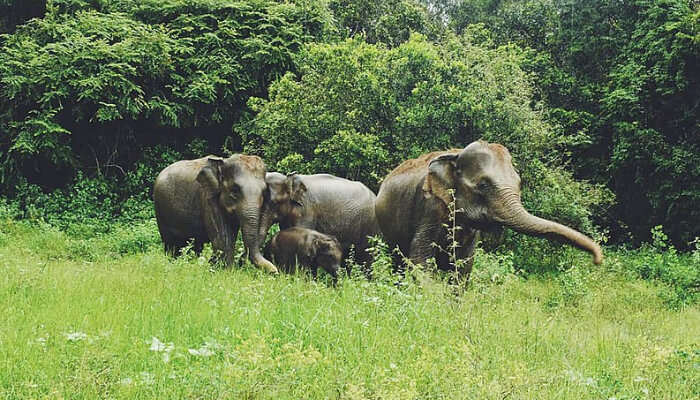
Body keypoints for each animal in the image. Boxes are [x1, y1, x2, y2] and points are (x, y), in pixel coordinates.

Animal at [374, 141, 604, 282]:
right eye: (483, 185)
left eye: (519, 183)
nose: (598, 260)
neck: (455, 156)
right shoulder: (429, 207)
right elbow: (421, 259)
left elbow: (463, 266)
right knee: (397, 261)